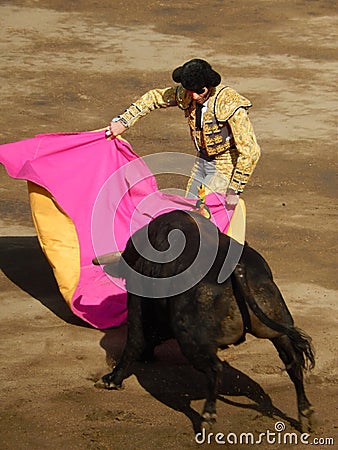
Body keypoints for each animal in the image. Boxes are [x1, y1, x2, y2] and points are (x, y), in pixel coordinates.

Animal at [92, 211, 314, 432]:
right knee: (293, 362)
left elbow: (134, 342)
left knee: (215, 368)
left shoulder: (138, 302)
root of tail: (237, 269)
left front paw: (112, 380)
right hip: (279, 326)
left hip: (192, 340)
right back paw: (305, 414)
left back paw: (207, 416)